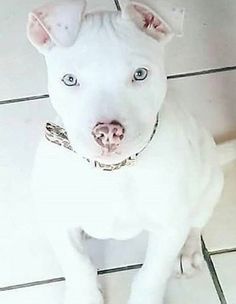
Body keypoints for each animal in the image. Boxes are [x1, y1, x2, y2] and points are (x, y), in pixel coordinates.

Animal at [27, 0, 236, 304]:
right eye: (69, 79)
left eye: (140, 74)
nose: (107, 133)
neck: (113, 173)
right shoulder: (56, 219)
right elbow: (77, 265)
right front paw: (84, 295)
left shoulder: (169, 228)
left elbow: (152, 274)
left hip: (209, 186)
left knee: (196, 223)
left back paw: (188, 251)